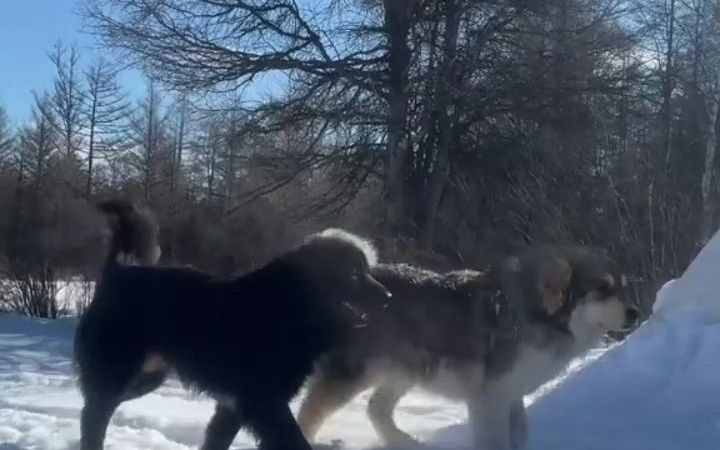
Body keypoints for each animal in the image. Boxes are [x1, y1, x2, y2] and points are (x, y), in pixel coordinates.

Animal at [75, 200, 390, 450]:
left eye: (367, 270)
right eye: (354, 274)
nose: (388, 297)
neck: (289, 308)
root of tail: (119, 272)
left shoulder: (233, 407)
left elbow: (216, 440)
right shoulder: (264, 403)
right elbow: (293, 441)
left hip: (145, 377)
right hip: (116, 372)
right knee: (93, 417)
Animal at [298, 244, 640, 448]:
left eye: (623, 288)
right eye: (602, 289)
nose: (636, 313)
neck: (536, 316)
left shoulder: (510, 394)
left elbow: (520, 434)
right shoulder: (490, 398)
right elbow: (498, 441)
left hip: (405, 369)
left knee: (375, 408)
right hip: (355, 373)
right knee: (310, 413)